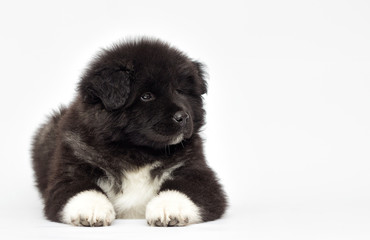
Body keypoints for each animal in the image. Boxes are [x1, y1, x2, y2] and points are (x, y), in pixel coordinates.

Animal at [31, 38, 227, 227]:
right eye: (146, 96)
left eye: (180, 91)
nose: (183, 117)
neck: (137, 151)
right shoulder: (70, 170)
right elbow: (82, 189)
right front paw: (92, 209)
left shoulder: (197, 172)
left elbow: (181, 189)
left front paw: (168, 208)